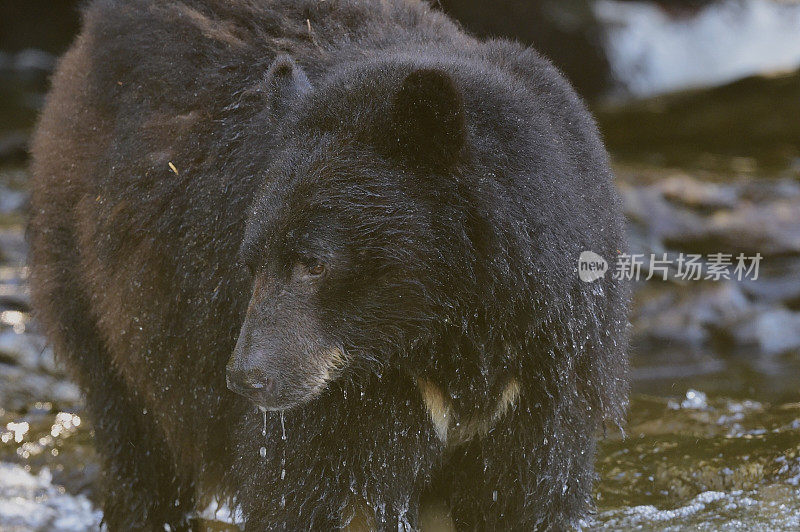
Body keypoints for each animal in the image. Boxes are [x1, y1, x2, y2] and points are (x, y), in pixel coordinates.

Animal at [28, 0, 632, 528]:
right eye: (251, 259)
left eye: (314, 263)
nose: (247, 376)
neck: (445, 333)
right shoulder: (347, 401)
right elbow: (305, 486)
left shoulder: (545, 373)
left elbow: (525, 495)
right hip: (104, 298)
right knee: (138, 446)